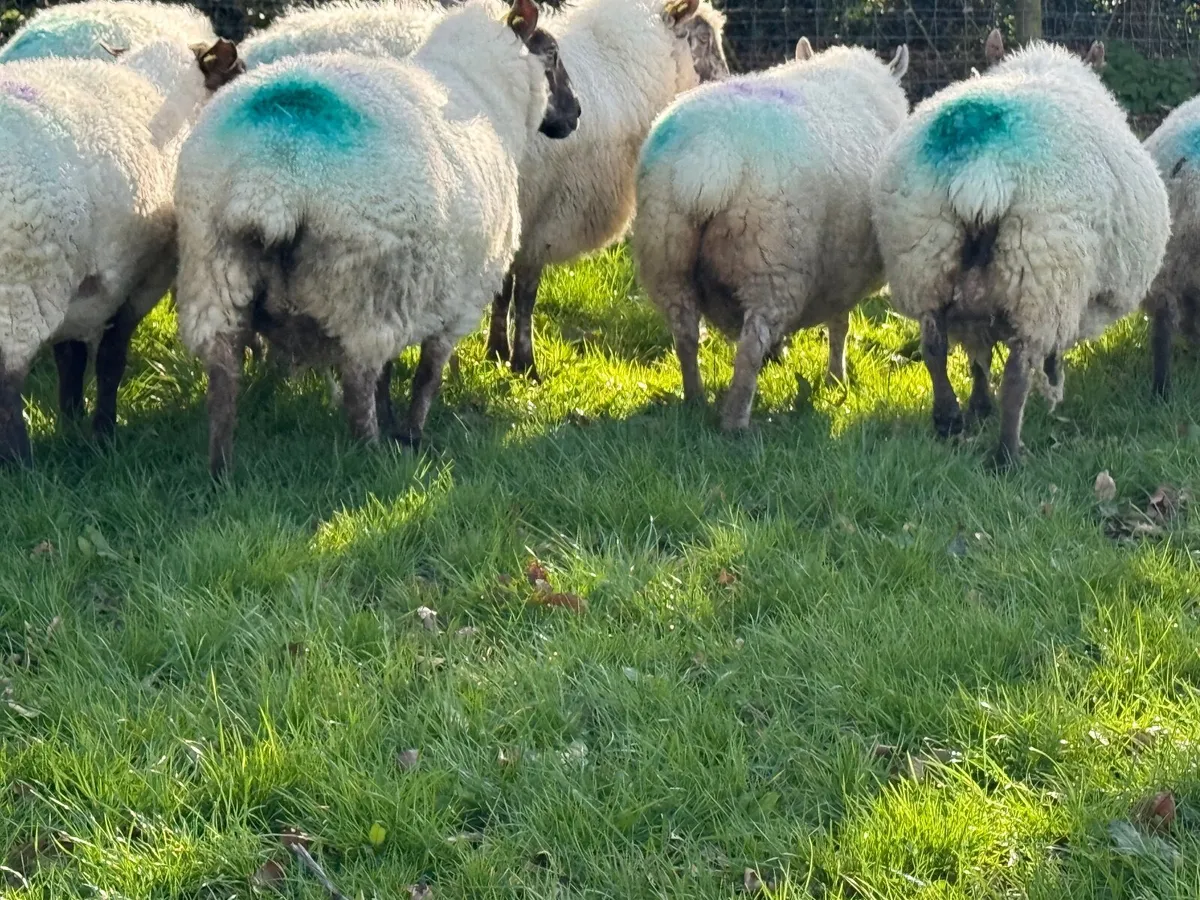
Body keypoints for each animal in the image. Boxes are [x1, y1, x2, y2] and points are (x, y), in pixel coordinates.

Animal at [0, 37, 242, 465]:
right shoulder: (141, 280)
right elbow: (111, 359)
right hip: (22, 283)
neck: (159, 89)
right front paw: (103, 432)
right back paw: (18, 464)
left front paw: (71, 422)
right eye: (237, 73)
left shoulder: (82, 286)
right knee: (7, 381)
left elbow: (71, 358)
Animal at [484, 0, 729, 380]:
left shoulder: (521, 212)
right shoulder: (542, 210)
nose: (729, 86)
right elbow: (524, 289)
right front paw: (524, 363)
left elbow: (505, 286)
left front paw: (496, 352)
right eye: (703, 39)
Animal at [631, 38, 909, 430]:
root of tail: (706, 159)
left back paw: (695, 400)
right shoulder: (842, 273)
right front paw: (836, 378)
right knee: (750, 346)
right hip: (771, 265)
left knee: (685, 335)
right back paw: (735, 421)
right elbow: (840, 325)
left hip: (667, 256)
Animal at [870, 31, 1170, 467]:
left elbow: (978, 355)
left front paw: (979, 406)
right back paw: (1008, 455)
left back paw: (949, 420)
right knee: (1017, 371)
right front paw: (1053, 376)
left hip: (925, 259)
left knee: (934, 347)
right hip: (1042, 275)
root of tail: (982, 167)